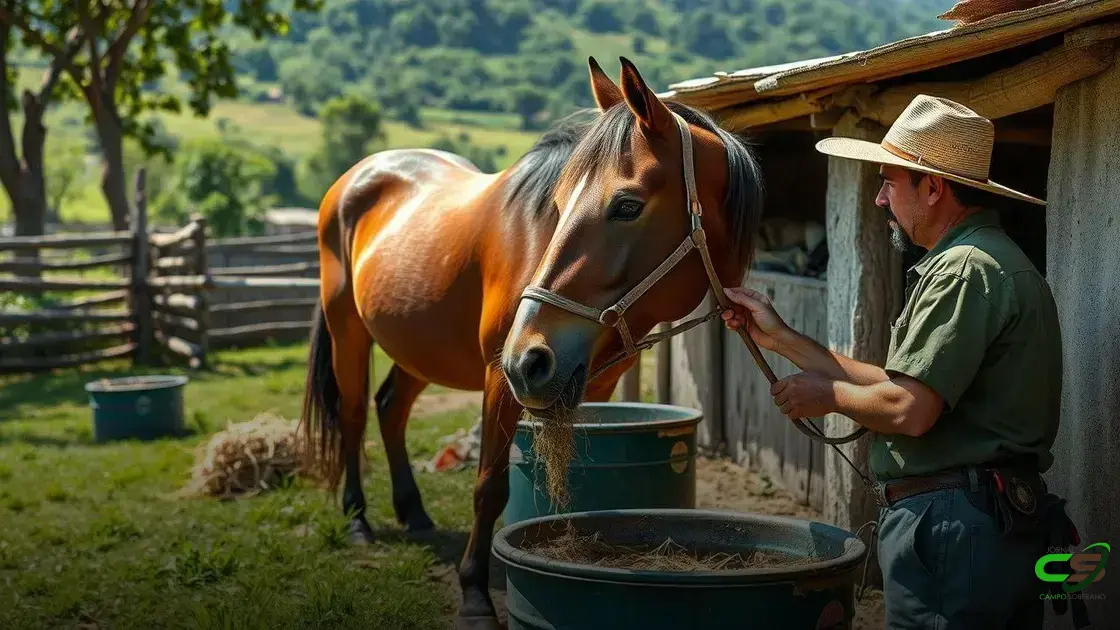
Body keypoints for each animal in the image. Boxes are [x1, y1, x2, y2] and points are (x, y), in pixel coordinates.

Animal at [300, 56, 764, 629]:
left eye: (627, 206)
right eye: (561, 204)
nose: (529, 358)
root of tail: (356, 176)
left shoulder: (590, 386)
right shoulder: (500, 380)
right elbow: (488, 486)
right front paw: (475, 595)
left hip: (420, 347)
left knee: (390, 407)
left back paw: (415, 513)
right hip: (348, 332)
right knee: (352, 415)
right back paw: (358, 520)